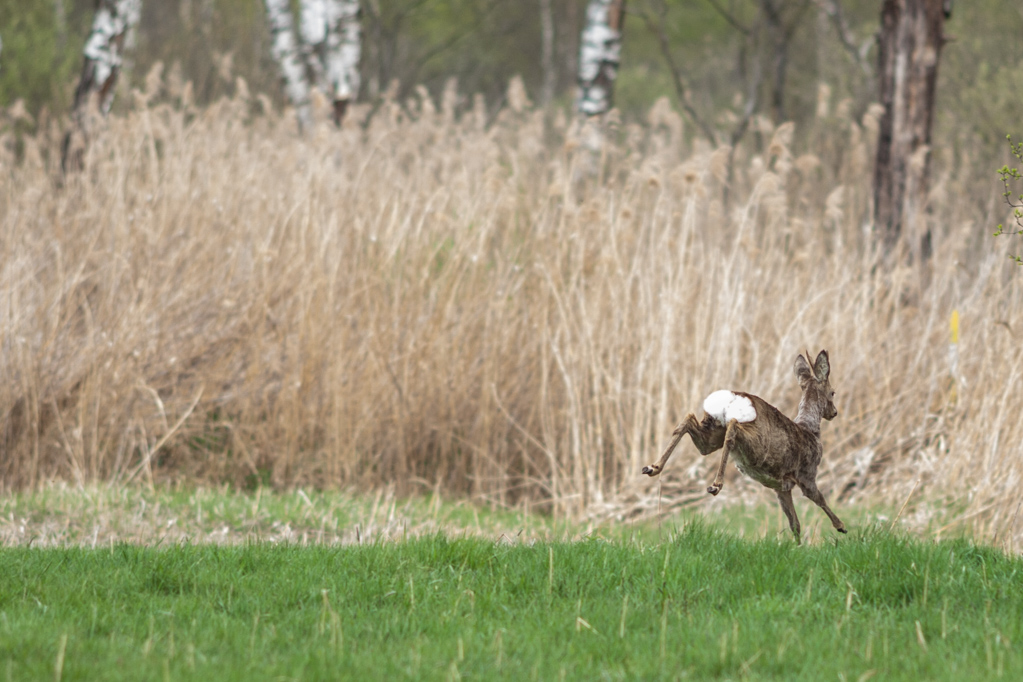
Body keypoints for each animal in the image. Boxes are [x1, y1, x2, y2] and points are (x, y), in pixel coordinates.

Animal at [638, 351, 847, 543]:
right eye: (833, 392)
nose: (835, 412)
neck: (810, 428)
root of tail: (730, 399)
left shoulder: (781, 487)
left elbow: (794, 522)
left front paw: (798, 547)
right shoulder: (807, 474)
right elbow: (819, 499)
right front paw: (841, 526)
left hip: (713, 433)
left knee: (690, 421)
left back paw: (653, 467)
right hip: (757, 446)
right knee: (732, 428)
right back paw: (715, 484)